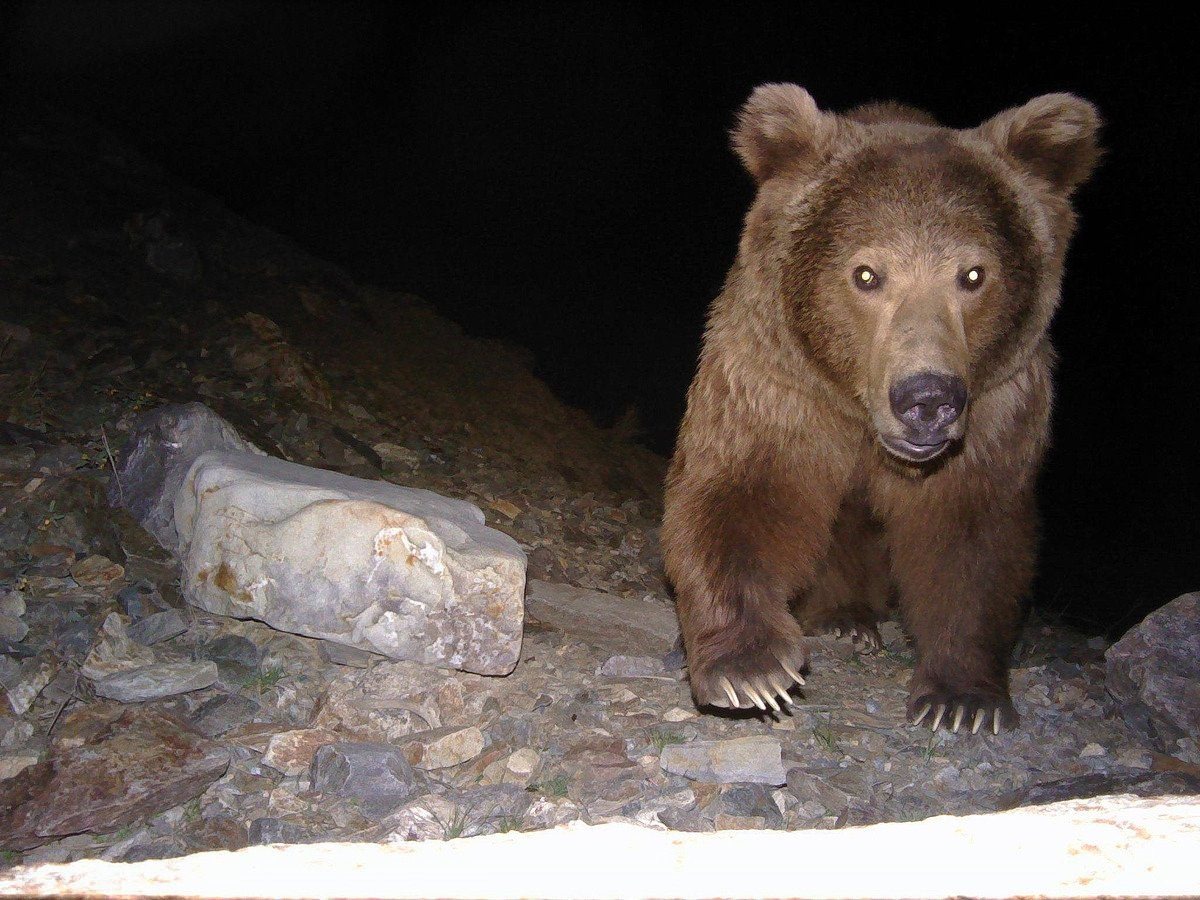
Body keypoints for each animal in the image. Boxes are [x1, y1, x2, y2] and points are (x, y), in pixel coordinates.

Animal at [662, 82, 1099, 734]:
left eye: (974, 274)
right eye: (866, 273)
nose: (927, 399)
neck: (857, 408)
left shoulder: (999, 407)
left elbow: (970, 535)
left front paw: (963, 700)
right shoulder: (776, 385)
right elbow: (742, 492)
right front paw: (751, 670)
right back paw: (845, 618)